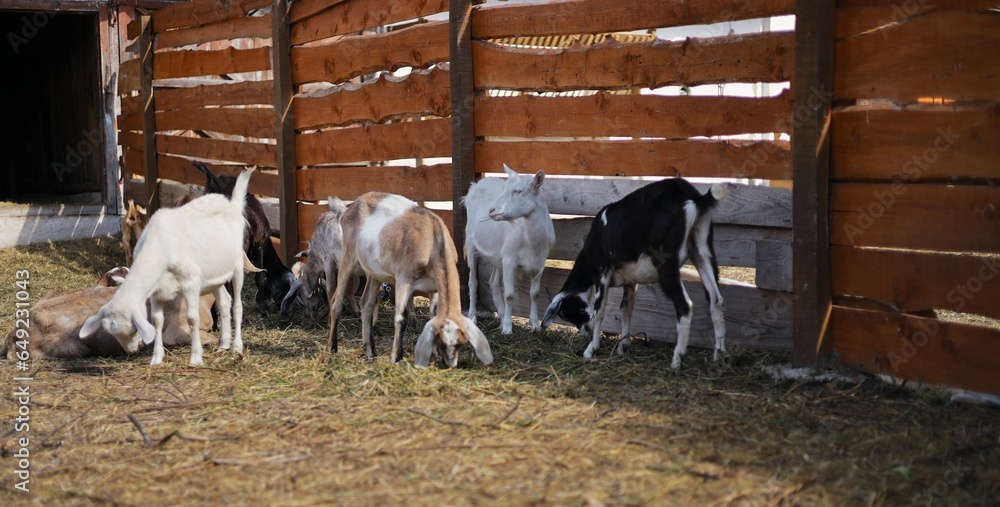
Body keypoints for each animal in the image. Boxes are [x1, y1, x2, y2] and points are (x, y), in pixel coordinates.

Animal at [80, 169, 256, 366]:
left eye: (133, 328)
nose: (131, 350)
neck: (158, 246)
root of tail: (232, 205)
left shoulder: (190, 283)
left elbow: (192, 319)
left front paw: (196, 358)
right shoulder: (157, 289)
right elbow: (157, 320)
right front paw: (156, 359)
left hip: (237, 265)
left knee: (237, 305)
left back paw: (237, 347)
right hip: (215, 275)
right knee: (224, 302)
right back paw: (224, 345)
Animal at [329, 192, 493, 368]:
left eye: (460, 343)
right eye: (444, 341)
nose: (450, 363)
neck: (433, 241)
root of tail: (348, 208)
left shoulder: (434, 288)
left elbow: (432, 315)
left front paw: (434, 353)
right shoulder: (403, 280)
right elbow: (401, 318)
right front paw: (396, 357)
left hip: (373, 272)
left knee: (366, 304)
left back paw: (371, 352)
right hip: (348, 257)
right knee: (336, 301)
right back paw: (332, 347)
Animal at [463, 164, 555, 334]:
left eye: (518, 191)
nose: (491, 210)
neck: (532, 241)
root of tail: (476, 184)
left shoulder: (540, 262)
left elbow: (535, 293)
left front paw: (535, 324)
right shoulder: (509, 260)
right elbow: (510, 295)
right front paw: (507, 327)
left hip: (498, 256)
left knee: (493, 282)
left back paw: (500, 314)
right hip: (470, 242)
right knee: (473, 281)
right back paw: (473, 317)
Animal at [540, 178, 728, 369]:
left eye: (572, 311)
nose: (586, 332)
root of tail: (693, 197)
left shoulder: (603, 271)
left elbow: (599, 309)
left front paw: (591, 349)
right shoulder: (630, 281)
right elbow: (626, 309)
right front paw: (623, 346)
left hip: (666, 262)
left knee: (685, 305)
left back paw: (677, 358)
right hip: (702, 250)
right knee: (716, 300)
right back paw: (719, 356)